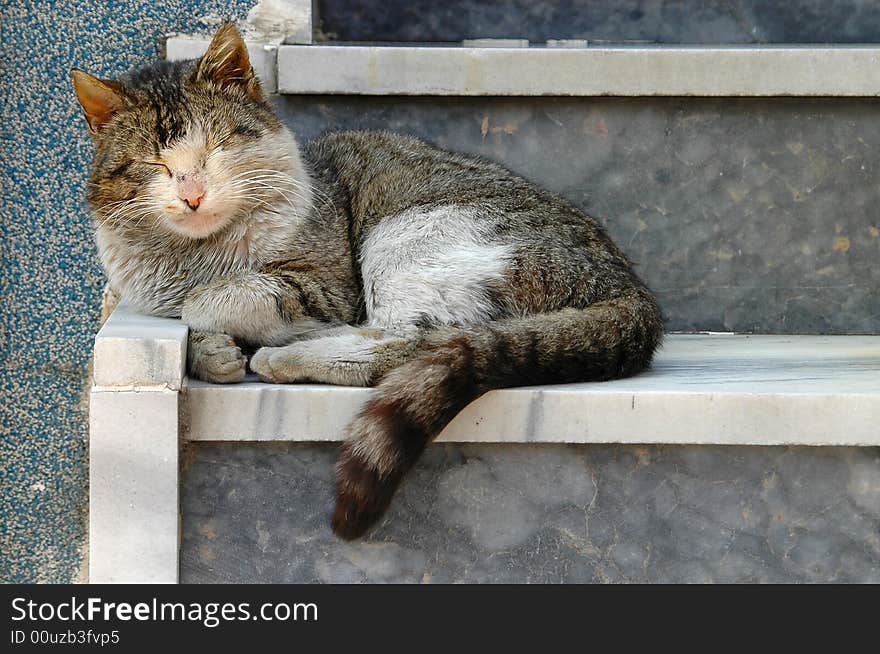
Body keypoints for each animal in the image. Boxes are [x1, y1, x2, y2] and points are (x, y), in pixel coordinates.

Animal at [74, 23, 660, 540]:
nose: (192, 194)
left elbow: (211, 300)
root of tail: (631, 289)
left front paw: (215, 328)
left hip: (406, 235)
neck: (198, 255)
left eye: (215, 148)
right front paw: (214, 354)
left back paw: (285, 357)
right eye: (155, 165)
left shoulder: (328, 286)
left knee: (411, 345)